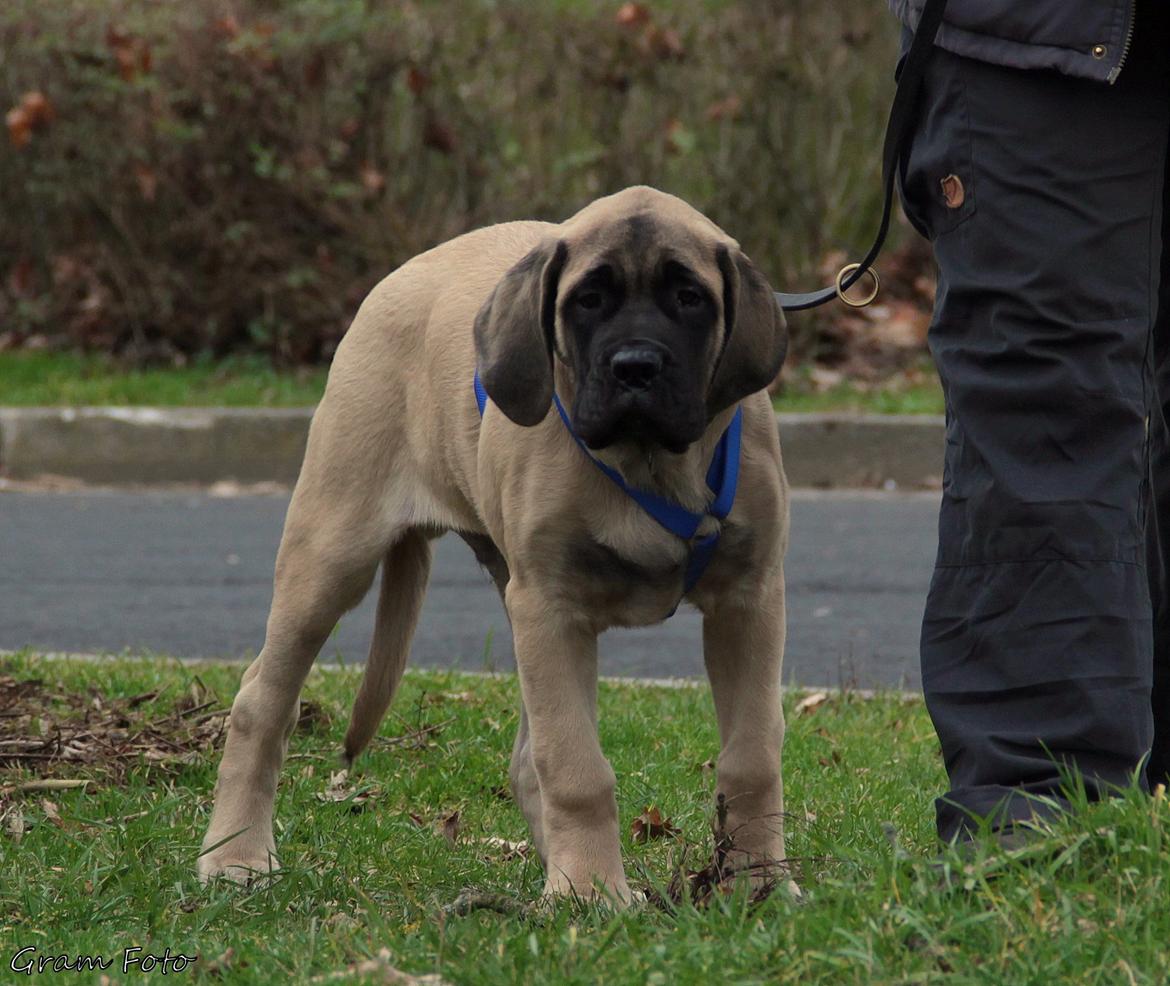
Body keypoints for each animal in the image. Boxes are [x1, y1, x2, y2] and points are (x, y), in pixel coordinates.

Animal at [196, 183, 790, 902]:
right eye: (588, 299)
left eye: (689, 297)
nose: (636, 367)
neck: (649, 463)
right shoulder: (552, 608)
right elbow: (577, 766)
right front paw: (592, 892)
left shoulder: (749, 599)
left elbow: (751, 758)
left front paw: (758, 885)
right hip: (332, 554)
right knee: (260, 702)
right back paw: (236, 857)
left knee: (527, 759)